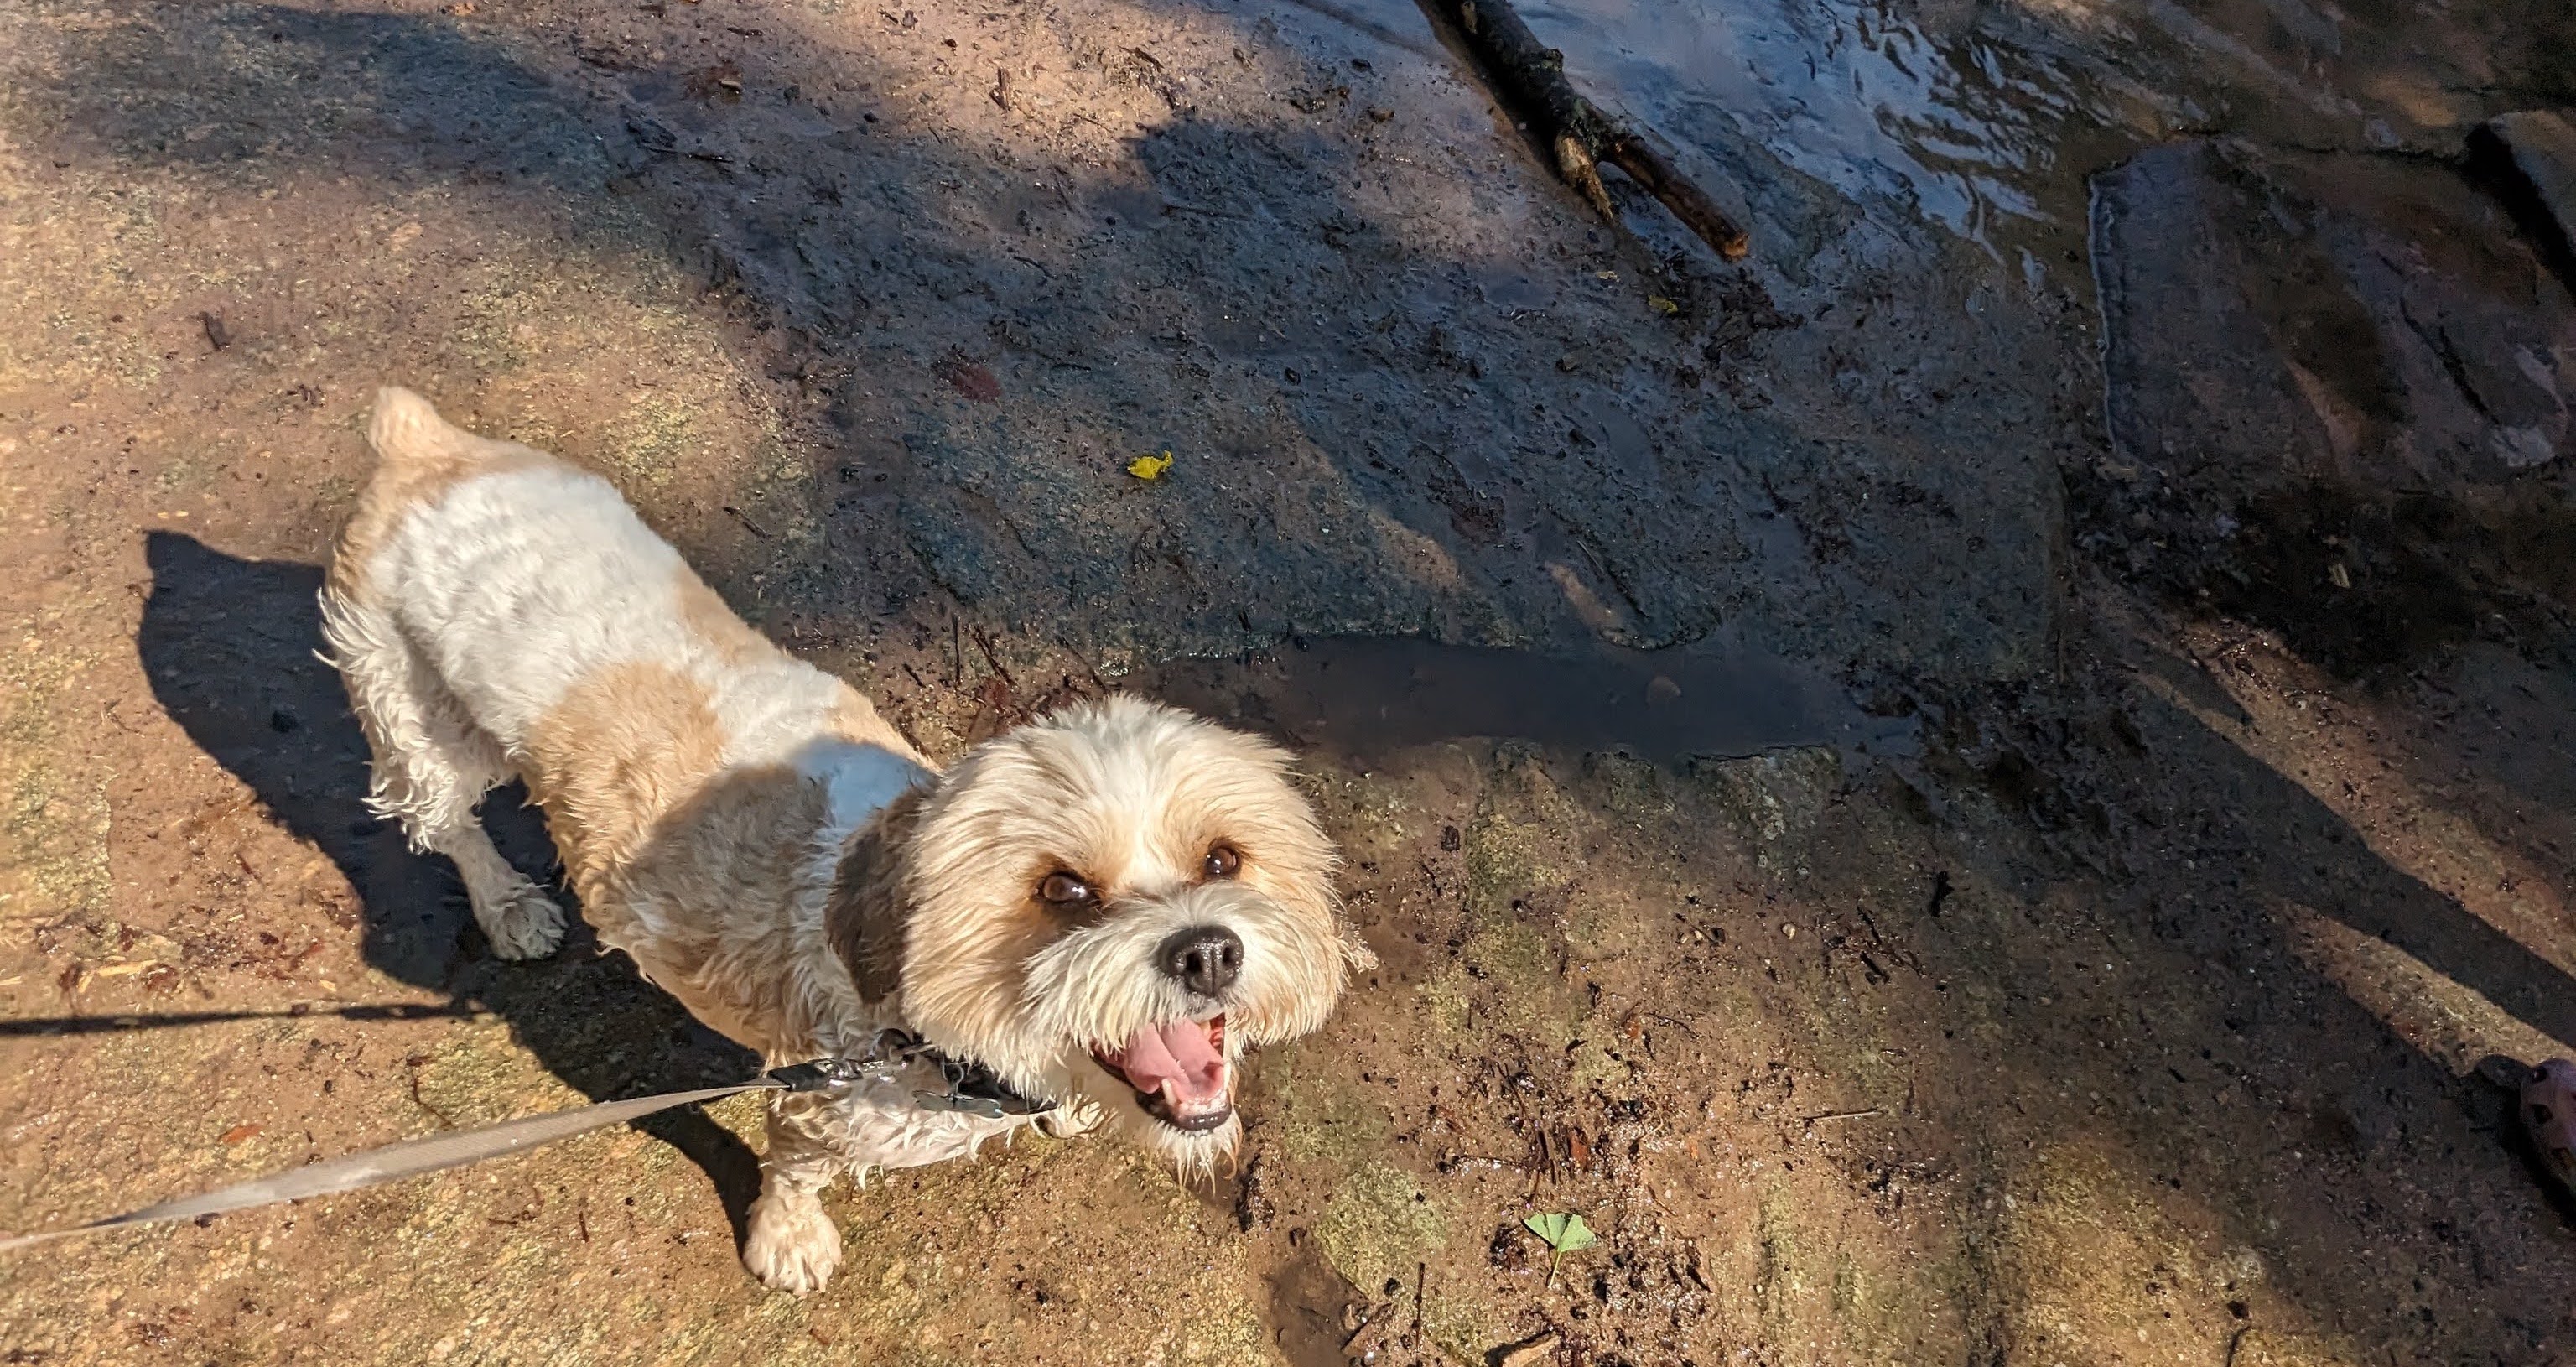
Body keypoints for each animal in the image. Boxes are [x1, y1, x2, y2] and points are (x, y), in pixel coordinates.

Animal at [327, 388, 1370, 1292]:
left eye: (1223, 859)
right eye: (1062, 891)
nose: (1207, 950)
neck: (928, 1026)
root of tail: (428, 445)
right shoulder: (814, 1099)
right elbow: (794, 1167)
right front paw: (787, 1238)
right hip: (416, 719)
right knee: (447, 822)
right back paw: (508, 905)